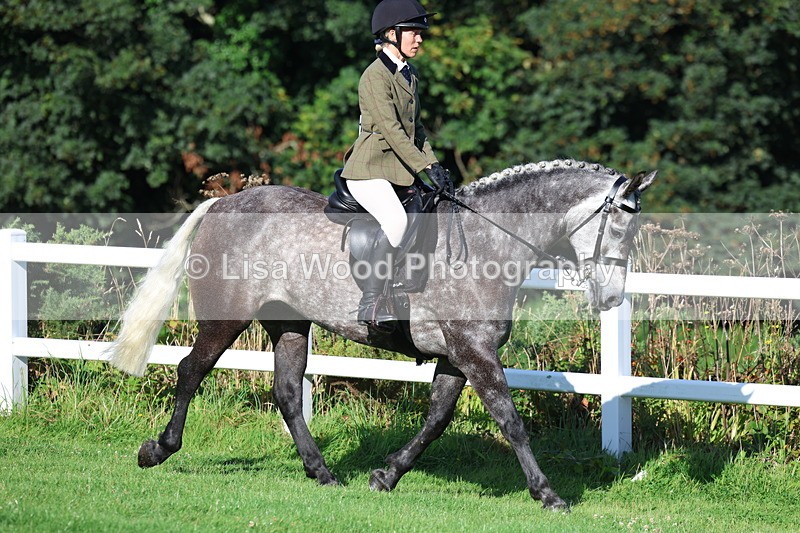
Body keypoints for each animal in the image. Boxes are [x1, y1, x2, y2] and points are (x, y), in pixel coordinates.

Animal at [106, 159, 656, 510]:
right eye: (621, 228)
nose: (611, 299)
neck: (487, 242)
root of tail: (227, 203)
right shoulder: (475, 353)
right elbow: (511, 421)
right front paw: (548, 494)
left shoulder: (457, 356)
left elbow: (436, 420)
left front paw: (386, 475)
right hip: (227, 317)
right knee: (191, 369)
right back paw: (158, 449)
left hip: (289, 323)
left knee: (287, 392)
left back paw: (322, 473)